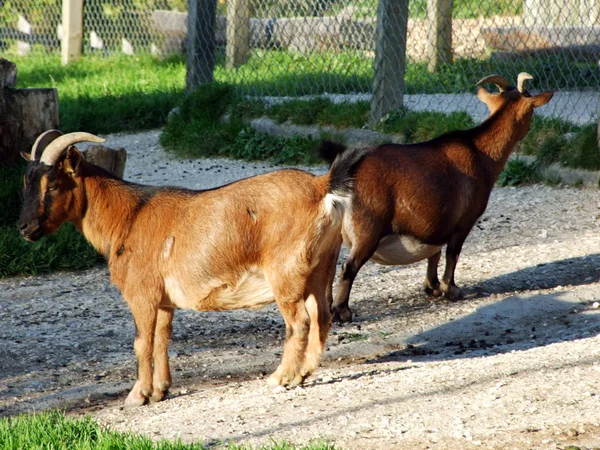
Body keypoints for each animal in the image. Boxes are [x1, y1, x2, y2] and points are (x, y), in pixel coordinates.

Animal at [18, 131, 364, 408]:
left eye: (53, 185)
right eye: (27, 182)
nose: (24, 227)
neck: (128, 217)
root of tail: (321, 185)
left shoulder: (142, 294)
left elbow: (141, 342)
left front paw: (137, 395)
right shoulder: (163, 301)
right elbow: (162, 339)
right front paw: (160, 391)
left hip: (287, 273)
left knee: (299, 322)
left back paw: (281, 377)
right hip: (322, 266)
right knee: (322, 316)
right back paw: (304, 373)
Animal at [324, 72, 552, 322]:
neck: (480, 150)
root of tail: (345, 176)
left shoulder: (436, 223)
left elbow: (434, 253)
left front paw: (432, 287)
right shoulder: (464, 221)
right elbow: (452, 253)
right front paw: (451, 290)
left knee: (328, 270)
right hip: (367, 231)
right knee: (348, 267)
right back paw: (342, 311)